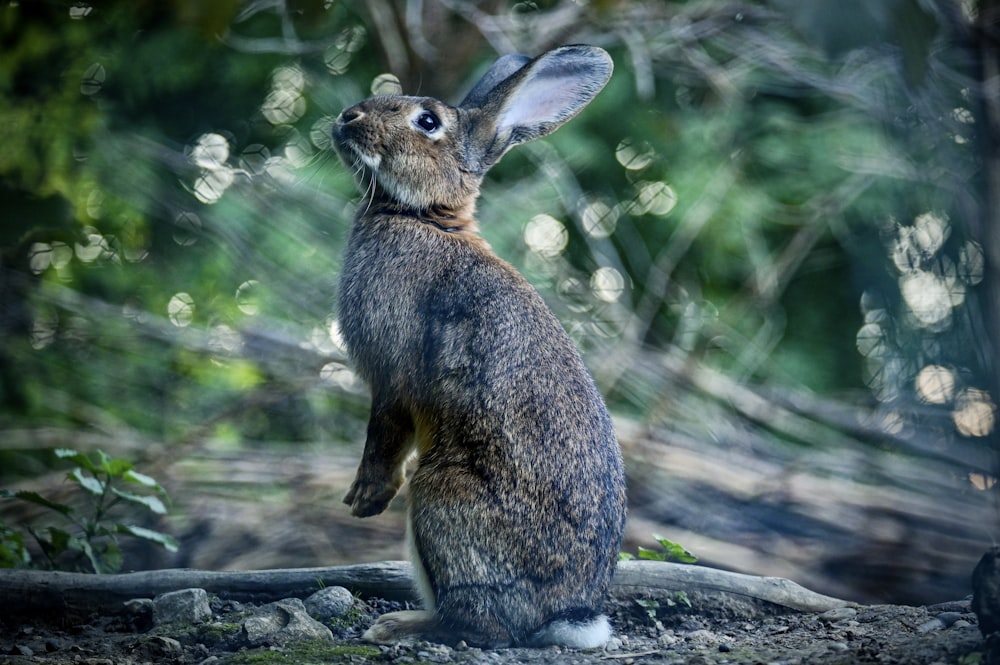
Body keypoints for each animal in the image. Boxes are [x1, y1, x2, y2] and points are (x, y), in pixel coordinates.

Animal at [334, 44, 624, 644]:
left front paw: (366, 499)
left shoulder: (392, 374)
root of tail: (563, 614)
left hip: (440, 493)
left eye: (426, 121)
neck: (427, 218)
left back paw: (399, 626)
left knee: (480, 624)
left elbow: (385, 433)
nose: (348, 117)